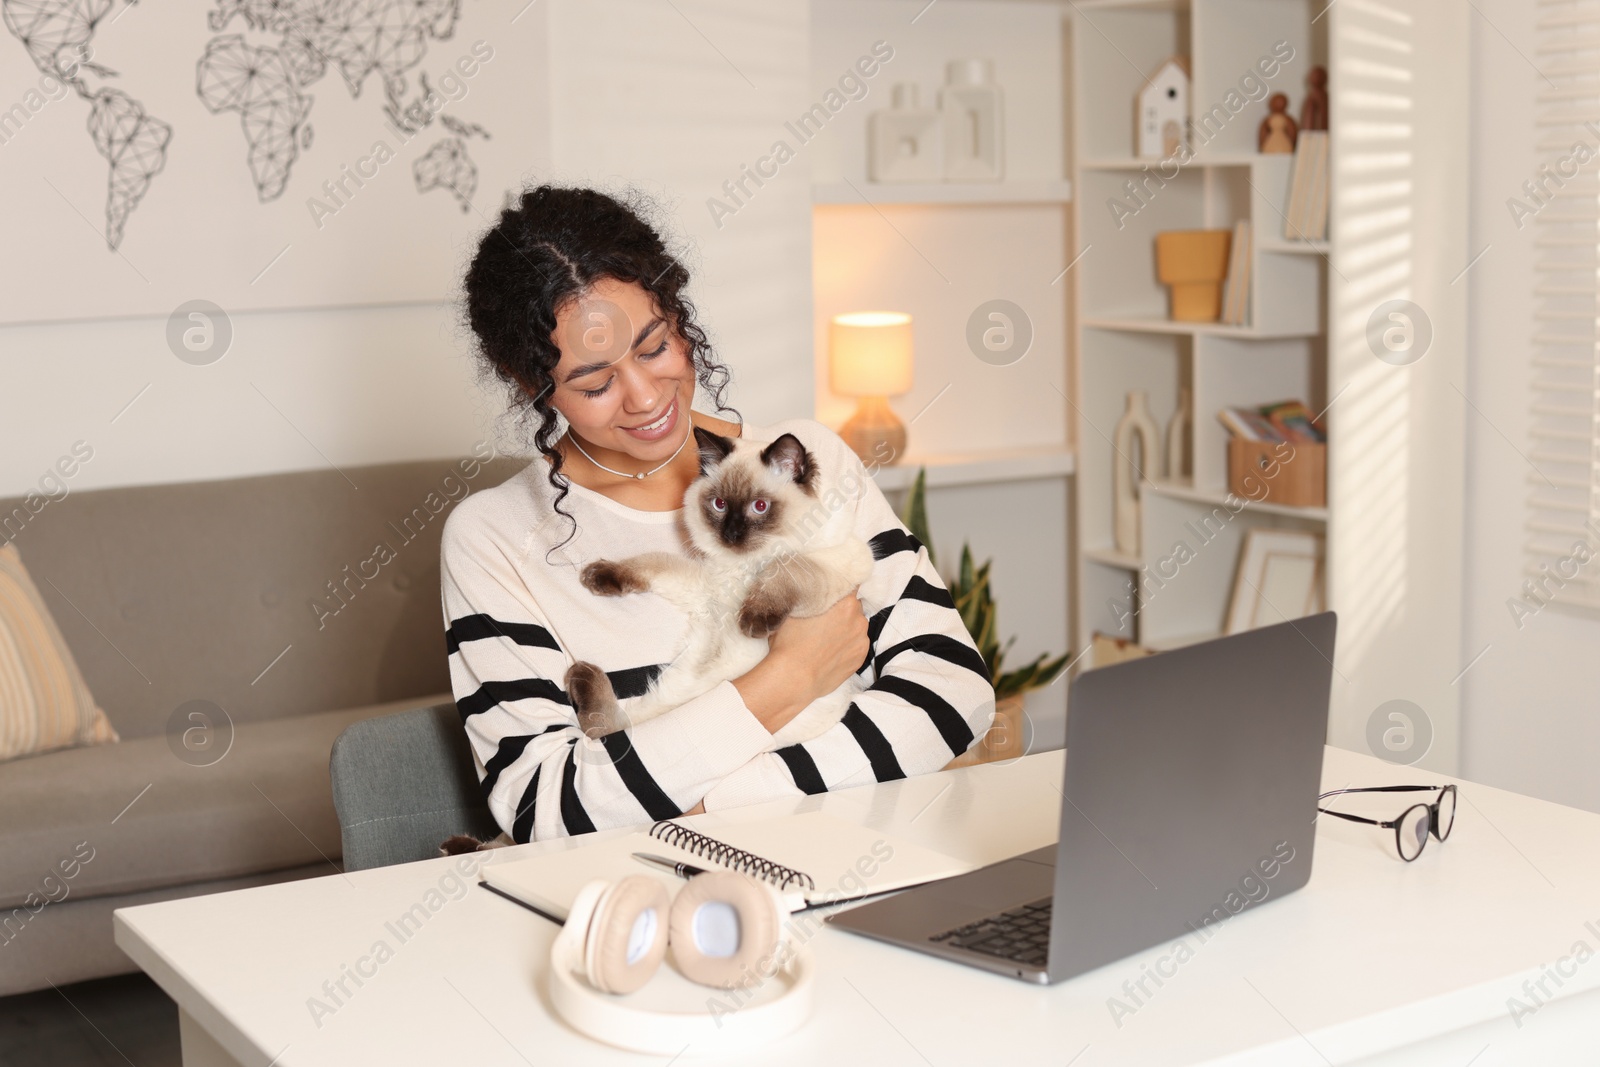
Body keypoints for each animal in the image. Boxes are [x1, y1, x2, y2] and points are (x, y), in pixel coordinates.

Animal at [566, 425, 876, 751]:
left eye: (760, 507)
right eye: (720, 505)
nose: (731, 534)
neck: (745, 564)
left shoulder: (839, 562)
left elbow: (783, 568)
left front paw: (752, 622)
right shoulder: (706, 589)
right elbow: (653, 562)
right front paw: (598, 575)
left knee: (609, 730)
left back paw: (581, 674)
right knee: (609, 730)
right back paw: (582, 673)